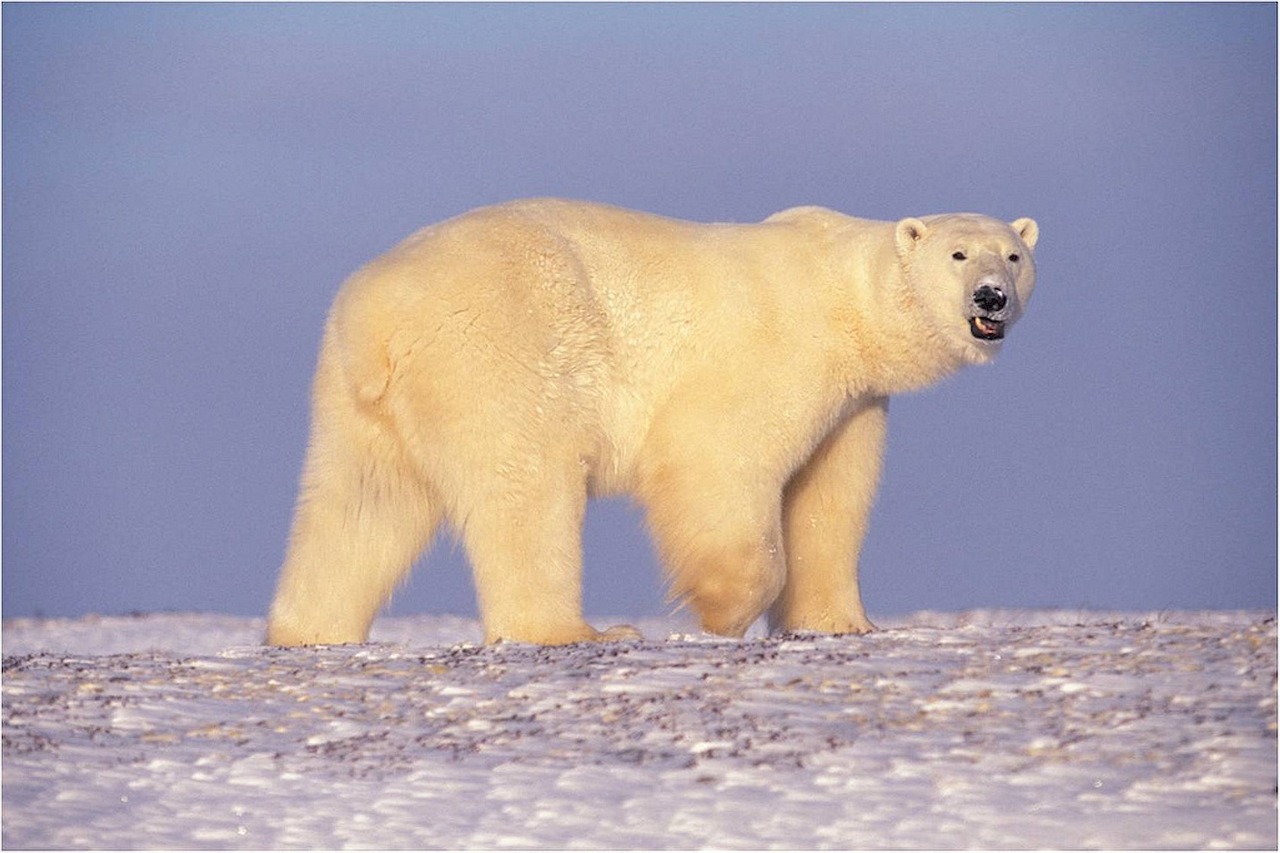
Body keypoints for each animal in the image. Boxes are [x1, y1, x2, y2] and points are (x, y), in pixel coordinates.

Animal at [264, 199, 1034, 645]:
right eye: (958, 254)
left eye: (1014, 254)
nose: (991, 297)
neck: (844, 296)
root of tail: (378, 314)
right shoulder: (776, 349)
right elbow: (717, 458)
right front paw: (720, 609)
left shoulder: (853, 400)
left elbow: (829, 498)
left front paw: (841, 621)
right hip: (498, 347)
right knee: (529, 487)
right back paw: (577, 631)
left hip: (358, 400)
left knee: (360, 506)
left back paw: (308, 630)